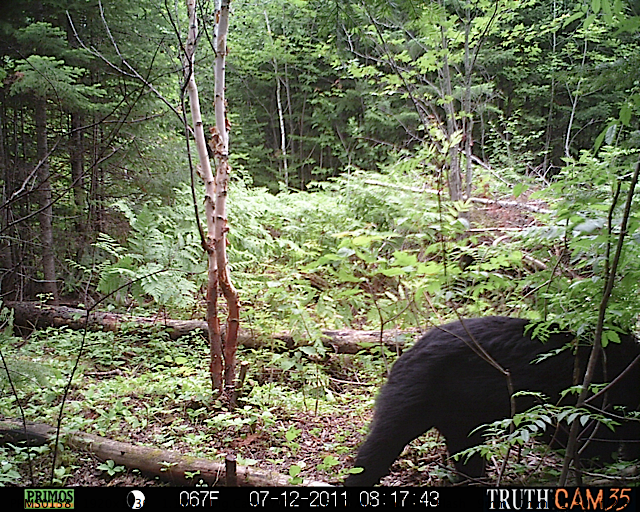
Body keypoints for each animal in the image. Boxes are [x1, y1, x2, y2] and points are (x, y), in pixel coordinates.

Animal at [344, 314, 640, 486]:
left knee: (466, 454)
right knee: (383, 442)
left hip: (458, 415)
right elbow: (592, 438)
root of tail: (406, 354)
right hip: (415, 396)